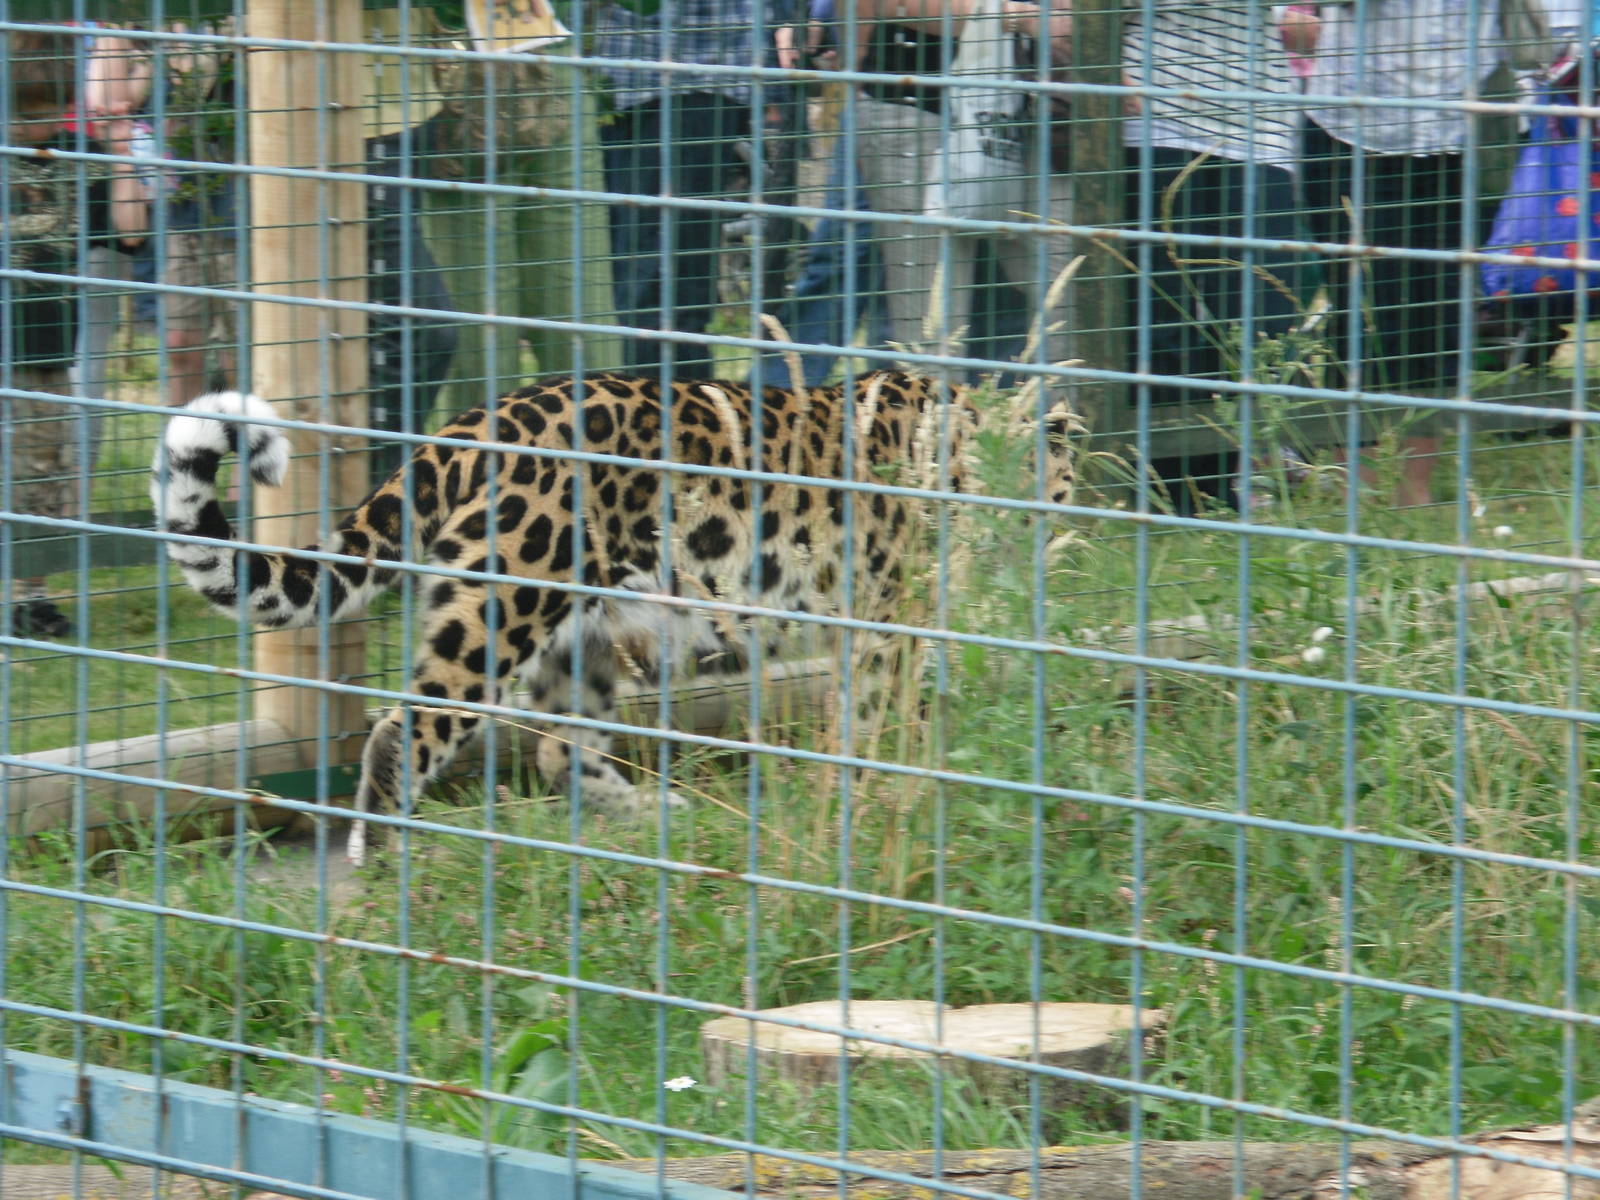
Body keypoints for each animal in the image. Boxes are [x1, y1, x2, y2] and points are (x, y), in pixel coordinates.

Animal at [149, 371, 1077, 862]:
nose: (1051, 527)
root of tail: (459, 430)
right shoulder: (887, 622)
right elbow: (888, 721)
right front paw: (897, 801)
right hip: (497, 611)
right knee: (404, 731)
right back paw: (385, 866)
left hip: (578, 633)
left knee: (559, 751)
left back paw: (657, 822)